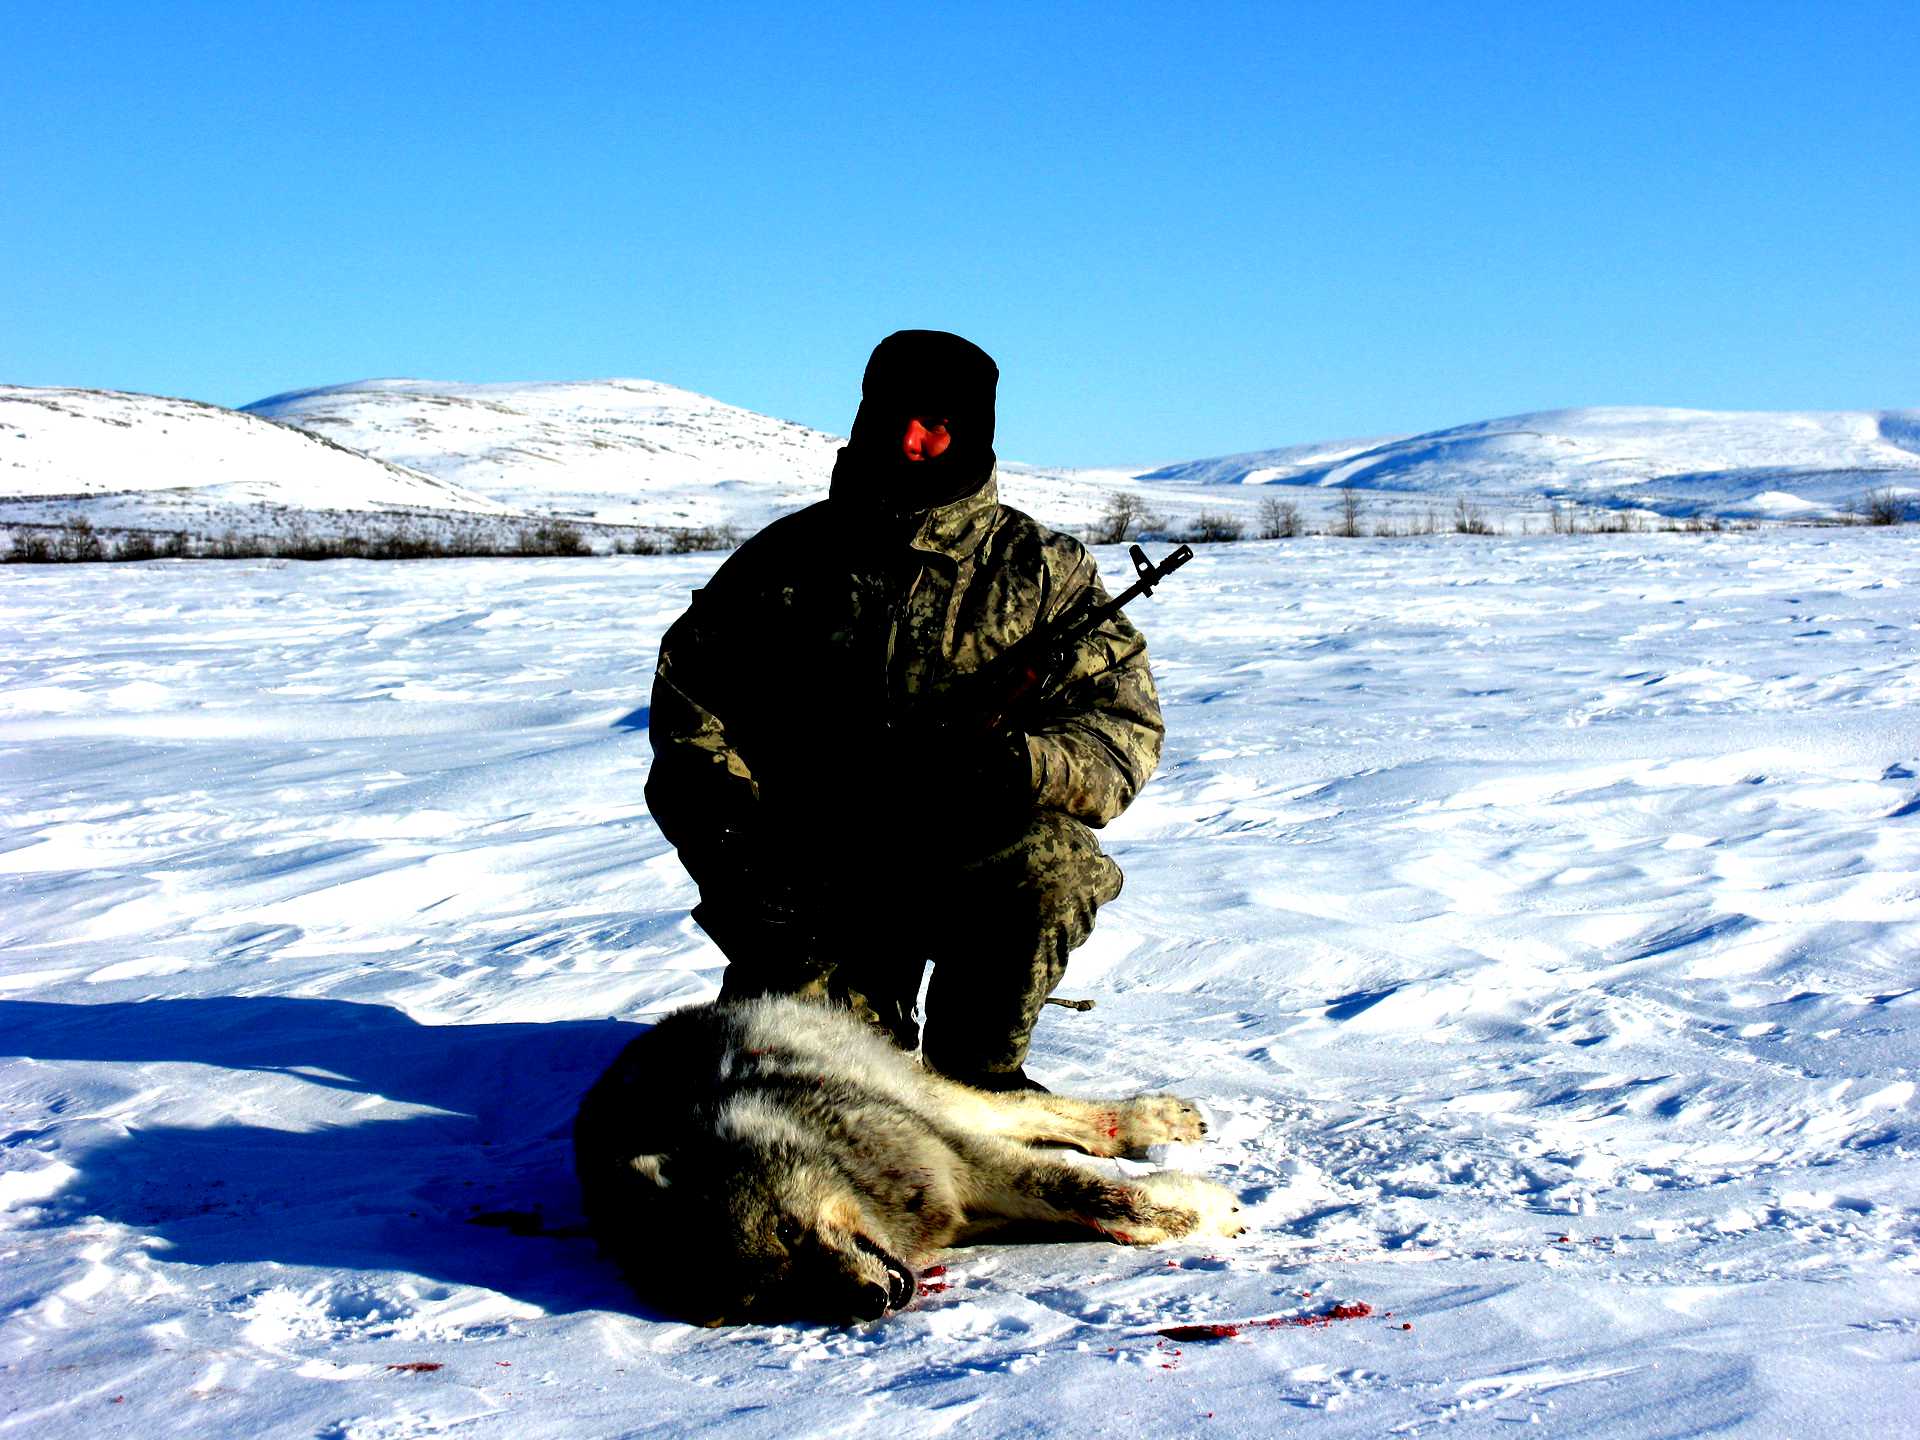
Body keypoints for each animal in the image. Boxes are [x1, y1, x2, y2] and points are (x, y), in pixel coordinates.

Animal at [568, 998, 1244, 1328]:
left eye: (787, 1231)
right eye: (771, 1300)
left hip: (933, 1100)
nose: (873, 1302)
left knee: (1032, 1111)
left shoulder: (957, 1158)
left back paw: (1154, 1122)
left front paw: (1207, 1210)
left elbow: (1098, 1196)